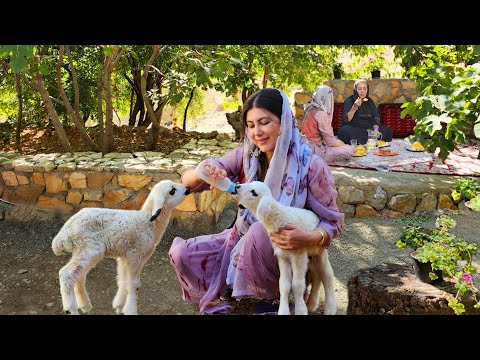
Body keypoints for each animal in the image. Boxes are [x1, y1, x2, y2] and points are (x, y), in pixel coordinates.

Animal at [50, 180, 189, 316]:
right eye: (172, 191)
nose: (188, 189)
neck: (147, 222)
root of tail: (64, 233)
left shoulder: (126, 257)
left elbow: (124, 280)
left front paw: (118, 306)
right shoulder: (134, 254)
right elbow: (133, 284)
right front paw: (131, 310)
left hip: (82, 251)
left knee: (79, 275)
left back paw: (85, 305)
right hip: (89, 249)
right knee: (66, 274)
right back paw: (71, 309)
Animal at [234, 181, 336, 314]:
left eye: (254, 192)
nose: (237, 187)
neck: (280, 217)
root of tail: (315, 215)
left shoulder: (298, 255)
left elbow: (298, 285)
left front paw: (300, 310)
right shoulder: (282, 256)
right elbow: (284, 284)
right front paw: (283, 310)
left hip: (320, 251)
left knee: (327, 276)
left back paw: (330, 308)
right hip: (311, 255)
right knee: (317, 276)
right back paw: (311, 304)